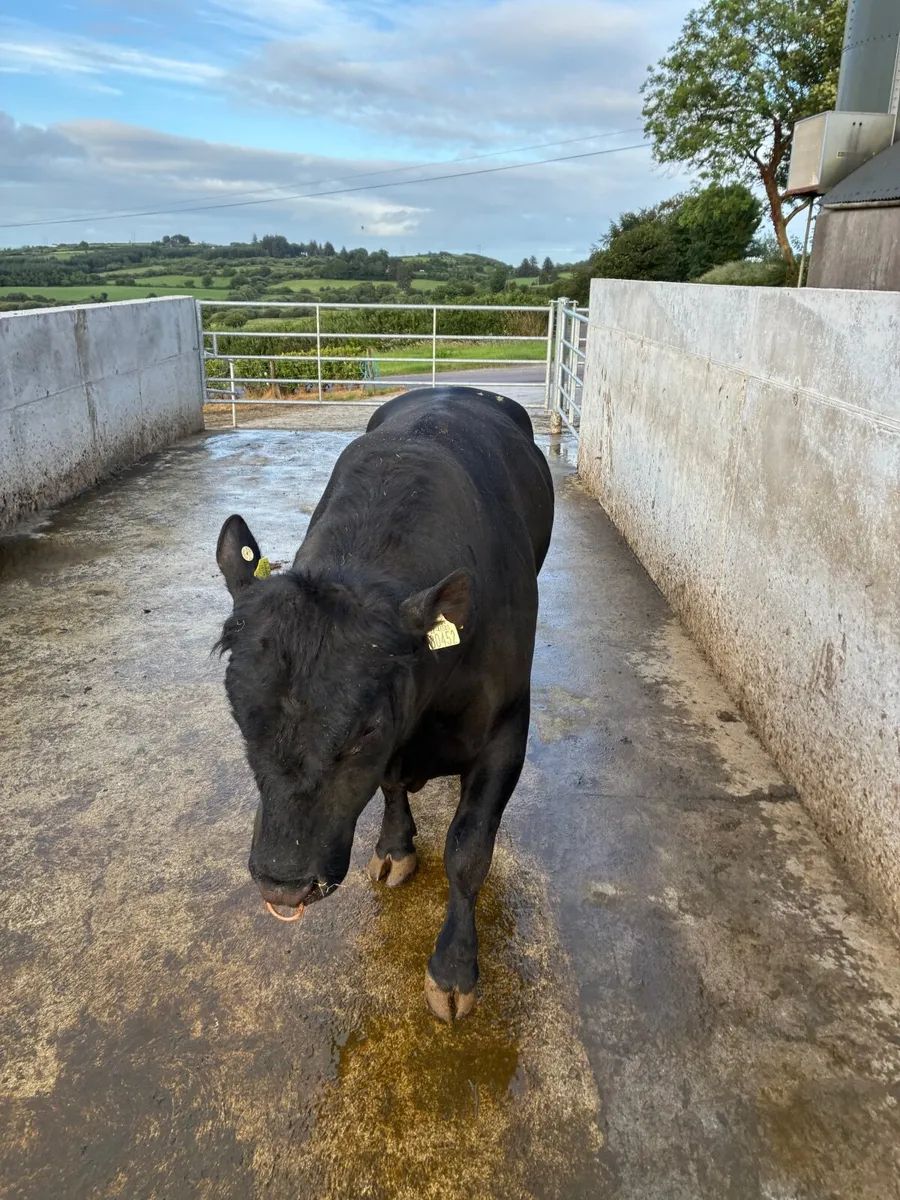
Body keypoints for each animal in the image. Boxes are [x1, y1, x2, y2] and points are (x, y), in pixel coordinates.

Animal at [215, 385, 554, 1020]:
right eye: (241, 717)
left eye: (363, 731)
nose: (282, 883)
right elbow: (392, 787)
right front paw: (395, 846)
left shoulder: (506, 730)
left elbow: (468, 852)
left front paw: (454, 970)